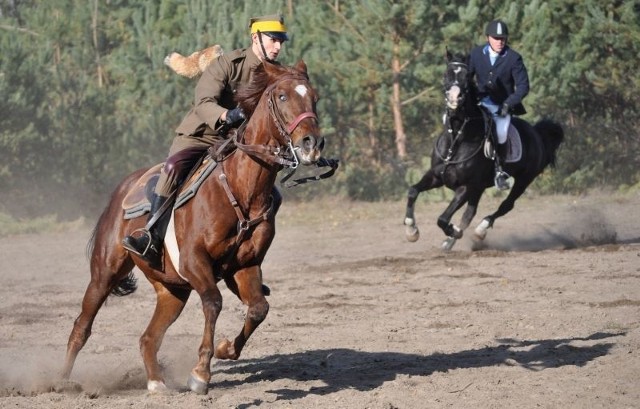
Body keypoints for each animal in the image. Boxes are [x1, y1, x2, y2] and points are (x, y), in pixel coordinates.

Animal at [62, 59, 324, 392]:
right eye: (282, 96)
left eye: (314, 97)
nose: (312, 144)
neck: (240, 188)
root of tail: (124, 187)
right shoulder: (195, 260)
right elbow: (213, 303)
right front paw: (200, 373)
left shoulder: (246, 265)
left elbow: (258, 308)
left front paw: (225, 349)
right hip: (104, 274)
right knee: (82, 326)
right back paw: (61, 381)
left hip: (172, 290)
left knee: (148, 338)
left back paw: (157, 383)